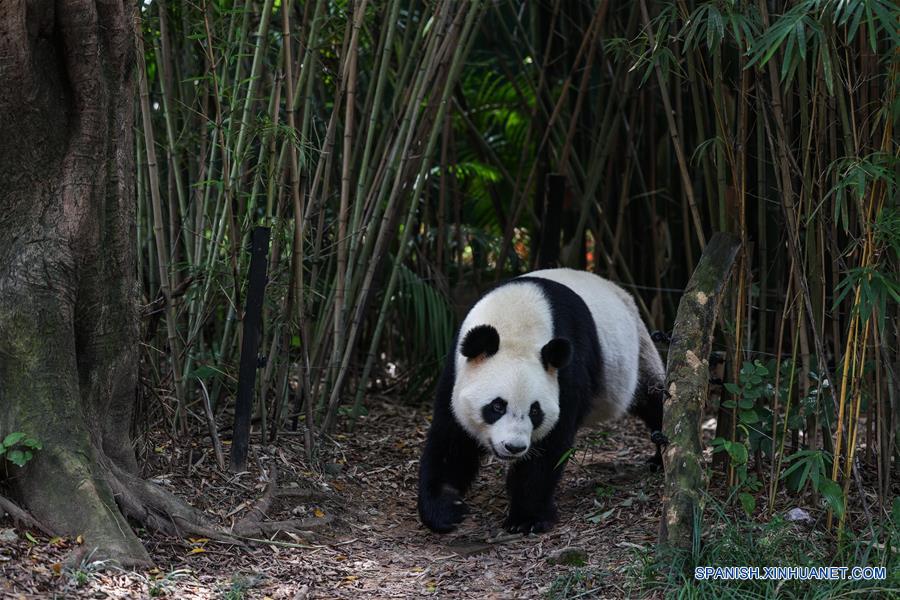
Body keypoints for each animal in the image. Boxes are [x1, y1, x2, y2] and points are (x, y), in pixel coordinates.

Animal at [417, 268, 667, 534]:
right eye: (497, 406)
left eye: (535, 411)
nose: (514, 447)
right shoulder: (456, 368)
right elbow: (452, 438)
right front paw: (446, 508)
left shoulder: (566, 368)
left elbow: (550, 444)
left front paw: (527, 517)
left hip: (638, 353)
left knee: (653, 398)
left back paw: (660, 458)